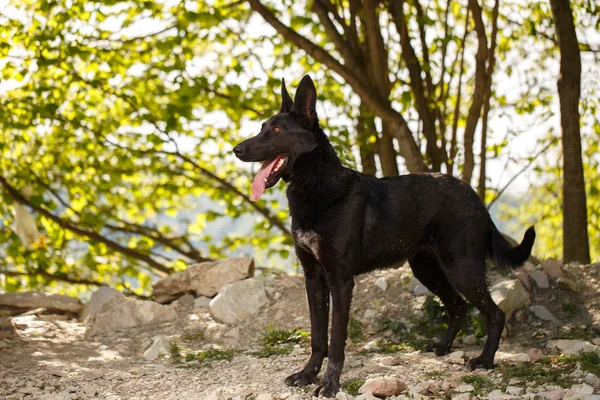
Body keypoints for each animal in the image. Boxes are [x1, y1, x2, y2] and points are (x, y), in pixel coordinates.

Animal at [233, 75, 536, 396]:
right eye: (262, 127)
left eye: (276, 130)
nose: (236, 150)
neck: (317, 187)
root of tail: (474, 195)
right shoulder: (313, 278)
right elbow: (317, 338)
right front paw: (307, 374)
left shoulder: (341, 281)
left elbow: (335, 341)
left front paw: (330, 384)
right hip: (427, 270)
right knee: (459, 306)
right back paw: (443, 347)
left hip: (461, 268)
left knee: (494, 313)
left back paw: (485, 360)